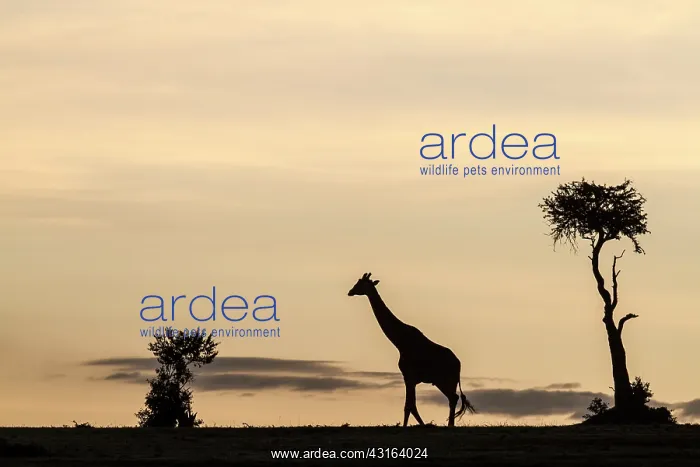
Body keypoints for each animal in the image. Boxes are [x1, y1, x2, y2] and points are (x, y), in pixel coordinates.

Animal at [347, 272, 476, 427]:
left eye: (360, 283)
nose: (350, 292)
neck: (400, 342)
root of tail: (458, 364)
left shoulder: (408, 376)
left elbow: (409, 405)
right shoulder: (411, 378)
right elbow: (411, 405)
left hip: (445, 380)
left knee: (453, 398)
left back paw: (450, 424)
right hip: (444, 382)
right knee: (453, 398)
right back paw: (450, 424)